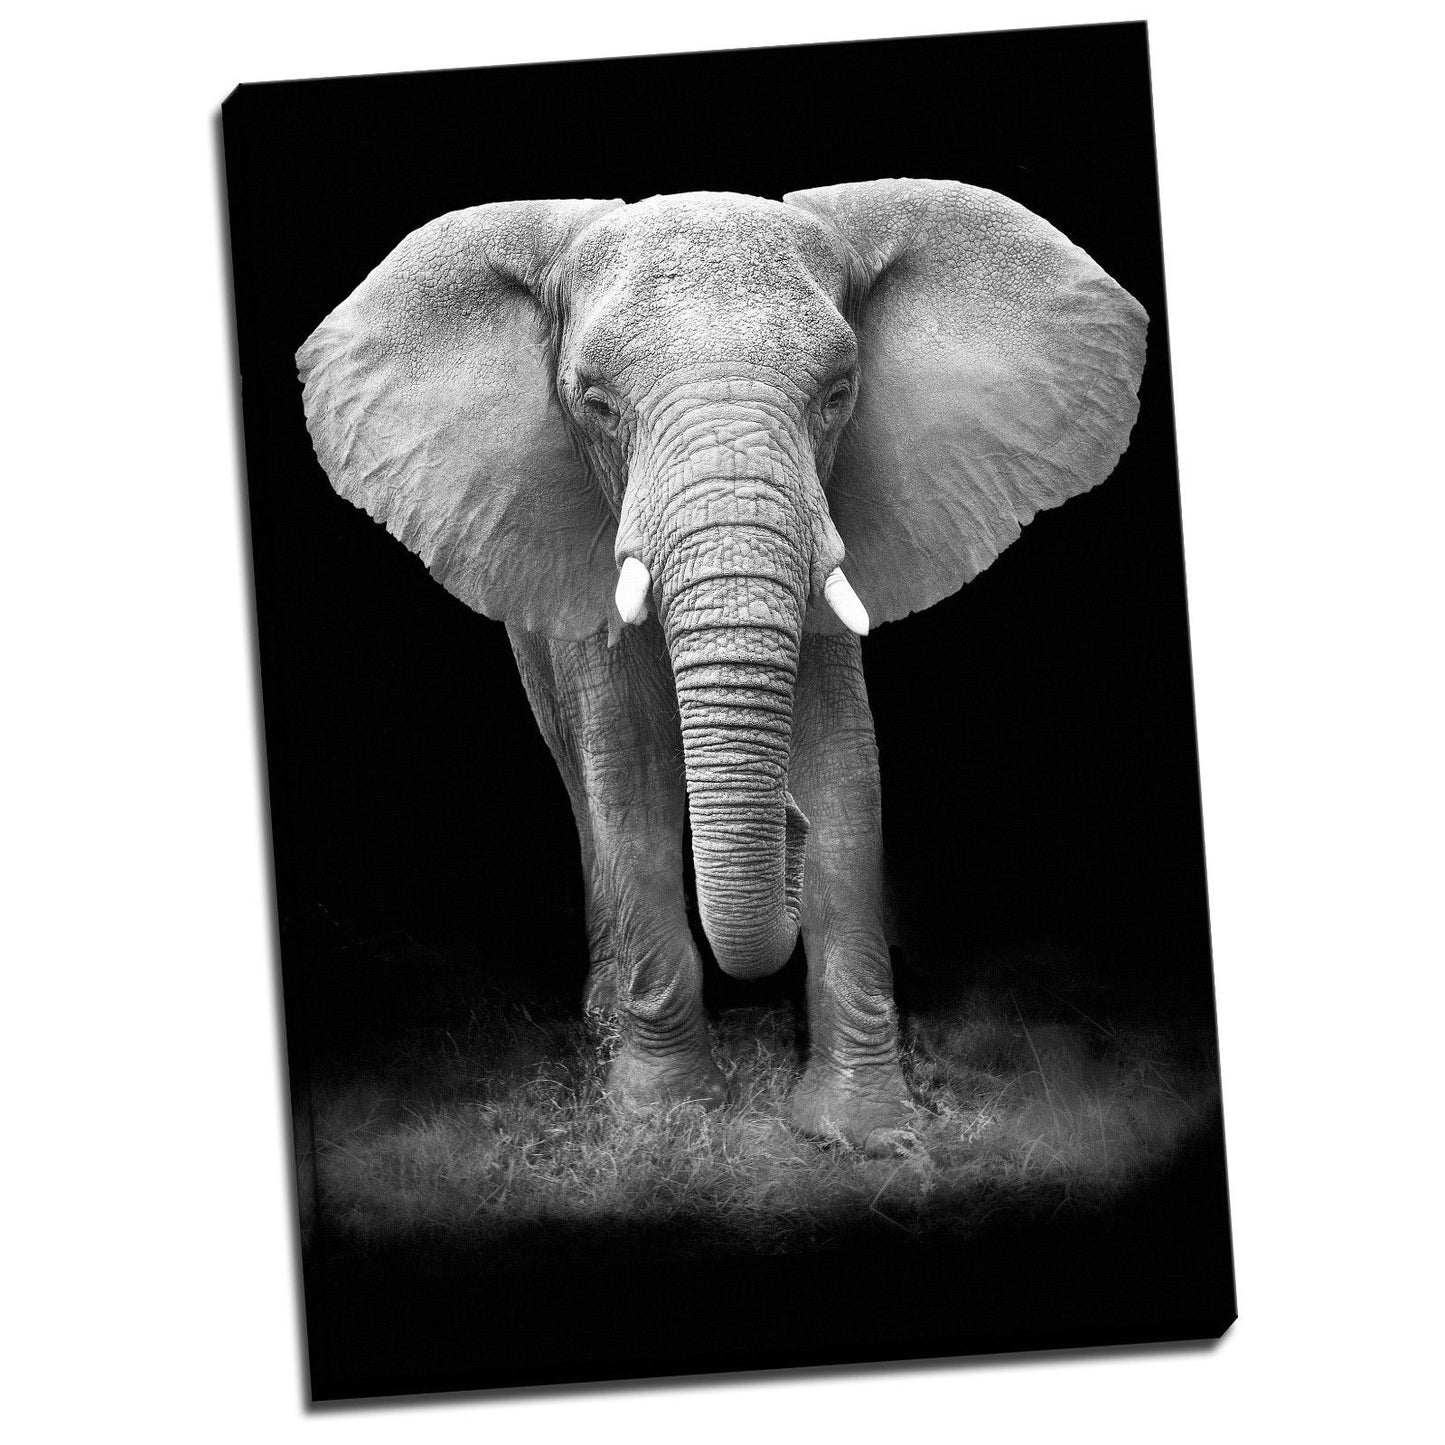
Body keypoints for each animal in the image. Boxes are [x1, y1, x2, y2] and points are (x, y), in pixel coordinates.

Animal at [297, 179, 1147, 1154]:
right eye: (594, 404)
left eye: (837, 395)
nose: (785, 823)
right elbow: (627, 775)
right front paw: (663, 1118)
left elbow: (846, 769)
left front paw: (864, 1132)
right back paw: (604, 1025)